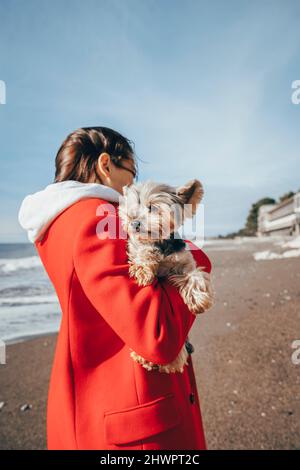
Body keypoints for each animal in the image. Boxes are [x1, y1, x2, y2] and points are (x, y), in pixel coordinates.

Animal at [118, 178, 214, 372]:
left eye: (152, 207)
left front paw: (198, 300)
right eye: (130, 209)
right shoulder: (137, 246)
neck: (160, 244)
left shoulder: (185, 262)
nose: (133, 222)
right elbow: (142, 249)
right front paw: (143, 267)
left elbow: (195, 277)